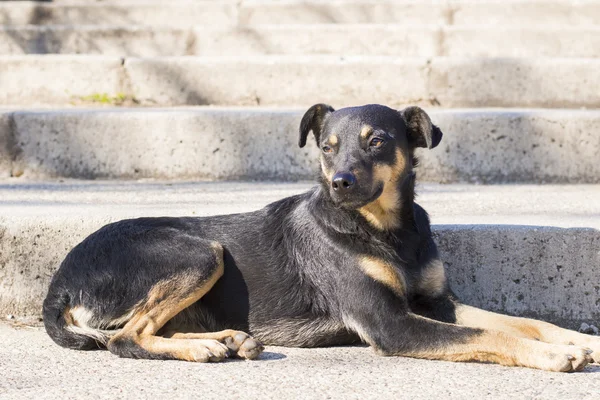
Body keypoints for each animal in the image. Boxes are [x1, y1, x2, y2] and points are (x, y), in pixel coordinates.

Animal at [43, 104, 600, 372]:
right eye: (327, 148)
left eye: (377, 142)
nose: (340, 183)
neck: (386, 229)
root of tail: (59, 284)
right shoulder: (392, 325)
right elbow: (491, 335)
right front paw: (554, 357)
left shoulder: (437, 303)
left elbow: (522, 321)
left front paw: (578, 339)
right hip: (202, 252)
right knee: (124, 337)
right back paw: (204, 350)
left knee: (141, 329)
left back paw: (225, 340)